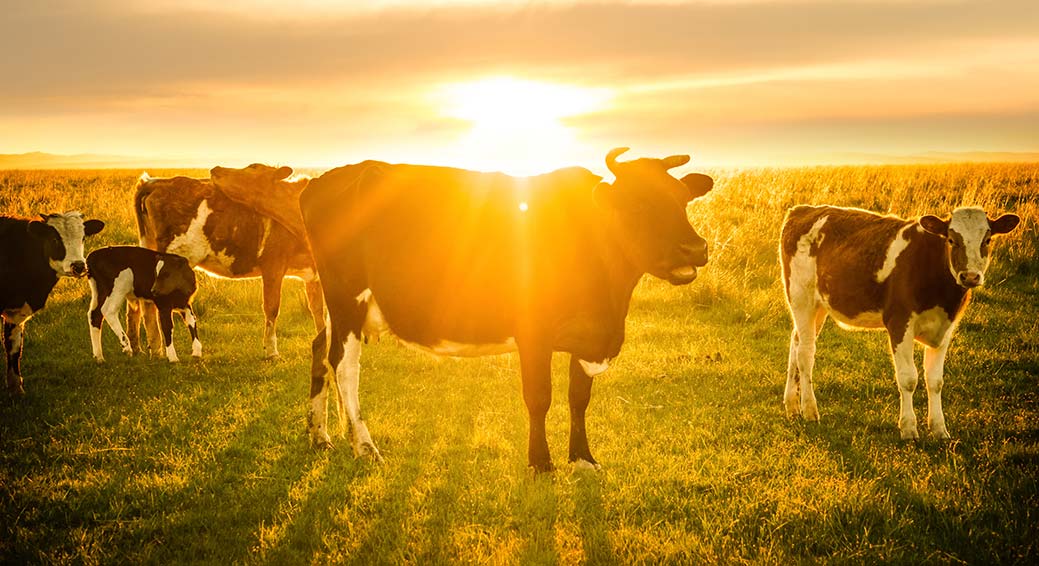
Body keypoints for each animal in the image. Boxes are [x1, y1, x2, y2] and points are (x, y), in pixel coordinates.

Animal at [1, 210, 104, 392]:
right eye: (55, 239)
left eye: (83, 237)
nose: (78, 266)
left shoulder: (15, 314)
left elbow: (13, 348)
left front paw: (16, 389)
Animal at [134, 164, 322, 357]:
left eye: (253, 166)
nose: (216, 168)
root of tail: (153, 182)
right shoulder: (273, 265)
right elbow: (272, 307)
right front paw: (272, 352)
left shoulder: (314, 273)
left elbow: (317, 310)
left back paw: (149, 349)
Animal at [297, 147, 710, 469]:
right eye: (637, 203)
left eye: (682, 200)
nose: (695, 248)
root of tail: (322, 181)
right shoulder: (534, 333)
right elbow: (539, 397)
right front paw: (541, 462)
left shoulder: (588, 335)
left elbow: (579, 399)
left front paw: (583, 458)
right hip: (346, 297)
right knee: (344, 365)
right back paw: (365, 446)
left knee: (319, 349)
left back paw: (321, 435)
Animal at [781, 205, 1022, 438]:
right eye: (952, 240)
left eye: (987, 240)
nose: (970, 276)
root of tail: (802, 209)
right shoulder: (899, 322)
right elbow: (908, 378)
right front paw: (908, 429)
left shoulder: (946, 328)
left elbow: (935, 381)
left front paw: (939, 429)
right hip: (802, 298)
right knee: (805, 353)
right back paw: (809, 410)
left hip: (820, 306)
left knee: (795, 342)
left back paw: (792, 406)